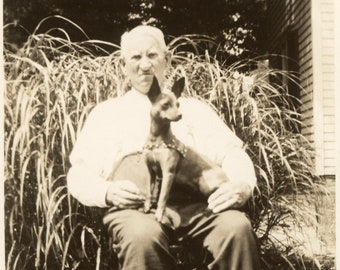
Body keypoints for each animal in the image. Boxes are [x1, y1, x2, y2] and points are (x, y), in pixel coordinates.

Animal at [108, 77, 231, 223]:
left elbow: (162, 197)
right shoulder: (151, 171)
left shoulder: (168, 173)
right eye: (166, 104)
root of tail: (228, 180)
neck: (157, 141)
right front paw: (147, 206)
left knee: (211, 198)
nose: (180, 115)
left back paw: (207, 209)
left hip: (204, 184)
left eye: (178, 104)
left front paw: (159, 215)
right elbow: (150, 191)